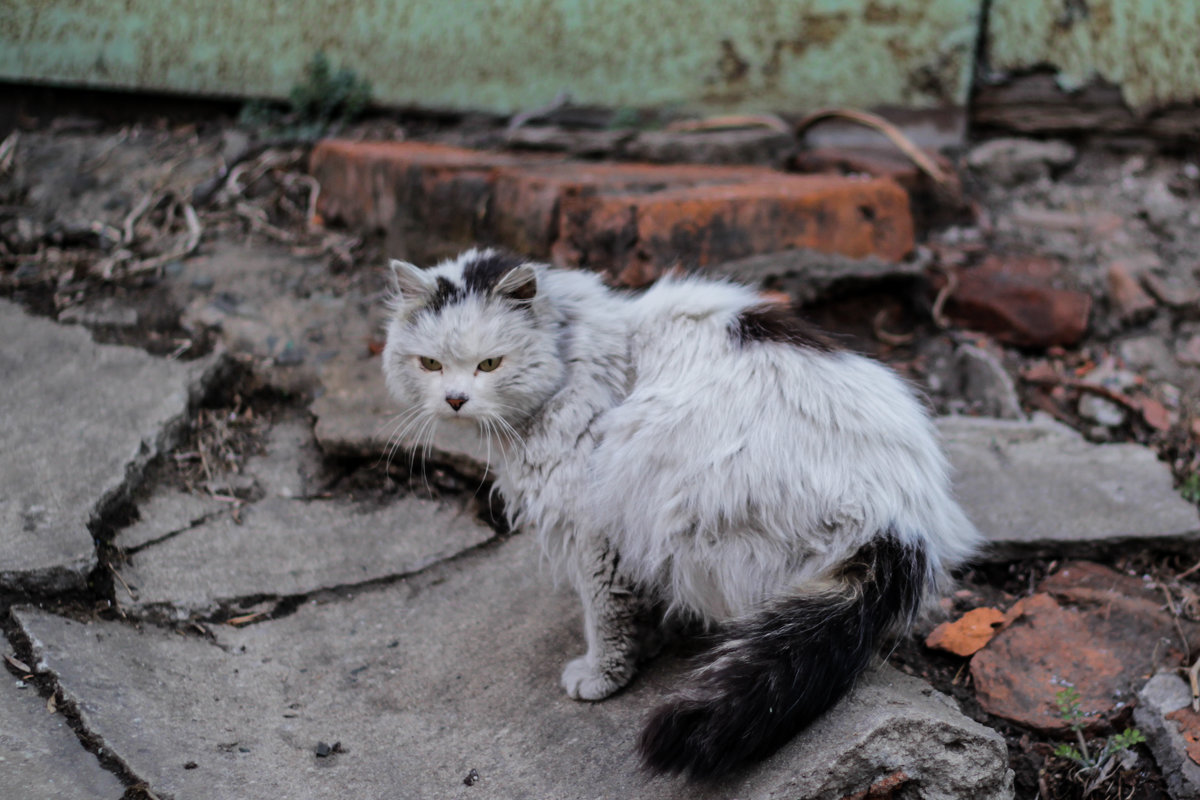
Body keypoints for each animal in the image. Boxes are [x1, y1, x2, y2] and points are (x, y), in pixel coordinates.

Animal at [379, 247, 979, 777]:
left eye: (490, 364)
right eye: (430, 364)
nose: (455, 400)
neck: (579, 352)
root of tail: (902, 524)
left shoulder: (594, 527)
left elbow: (604, 613)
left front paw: (603, 675)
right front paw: (644, 646)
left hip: (669, 488)